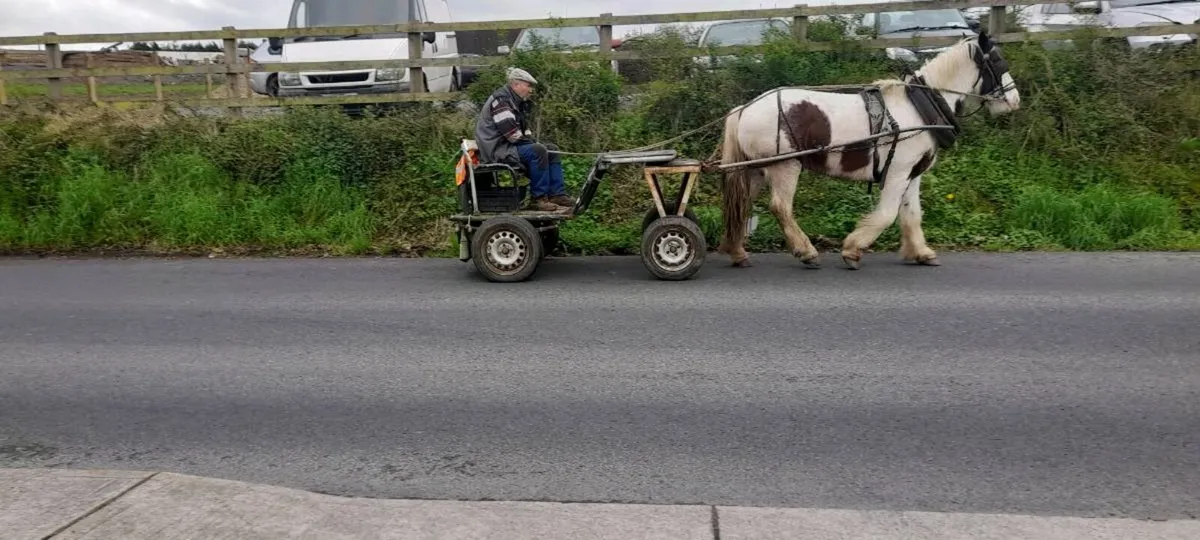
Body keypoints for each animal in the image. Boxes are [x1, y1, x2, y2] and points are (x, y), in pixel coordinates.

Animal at [714, 31, 1020, 270]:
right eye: (998, 62)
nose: (1015, 100)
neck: (920, 107)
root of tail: (745, 108)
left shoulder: (912, 173)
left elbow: (912, 214)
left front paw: (921, 252)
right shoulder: (897, 172)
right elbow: (887, 214)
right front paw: (852, 249)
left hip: (756, 169)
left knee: (742, 205)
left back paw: (737, 251)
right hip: (785, 166)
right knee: (780, 207)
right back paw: (806, 251)